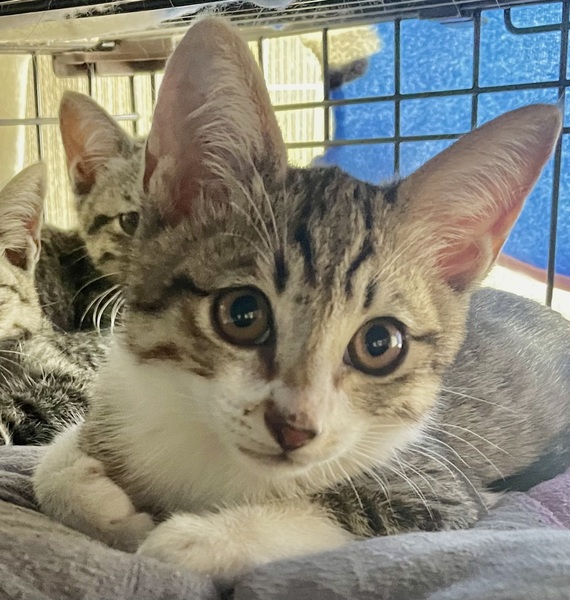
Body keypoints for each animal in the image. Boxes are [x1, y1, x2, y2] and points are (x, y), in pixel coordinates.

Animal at [33, 18, 570, 585]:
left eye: (381, 343)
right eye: (242, 314)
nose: (294, 427)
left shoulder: (444, 492)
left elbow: (336, 509)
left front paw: (196, 539)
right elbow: (52, 465)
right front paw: (92, 486)